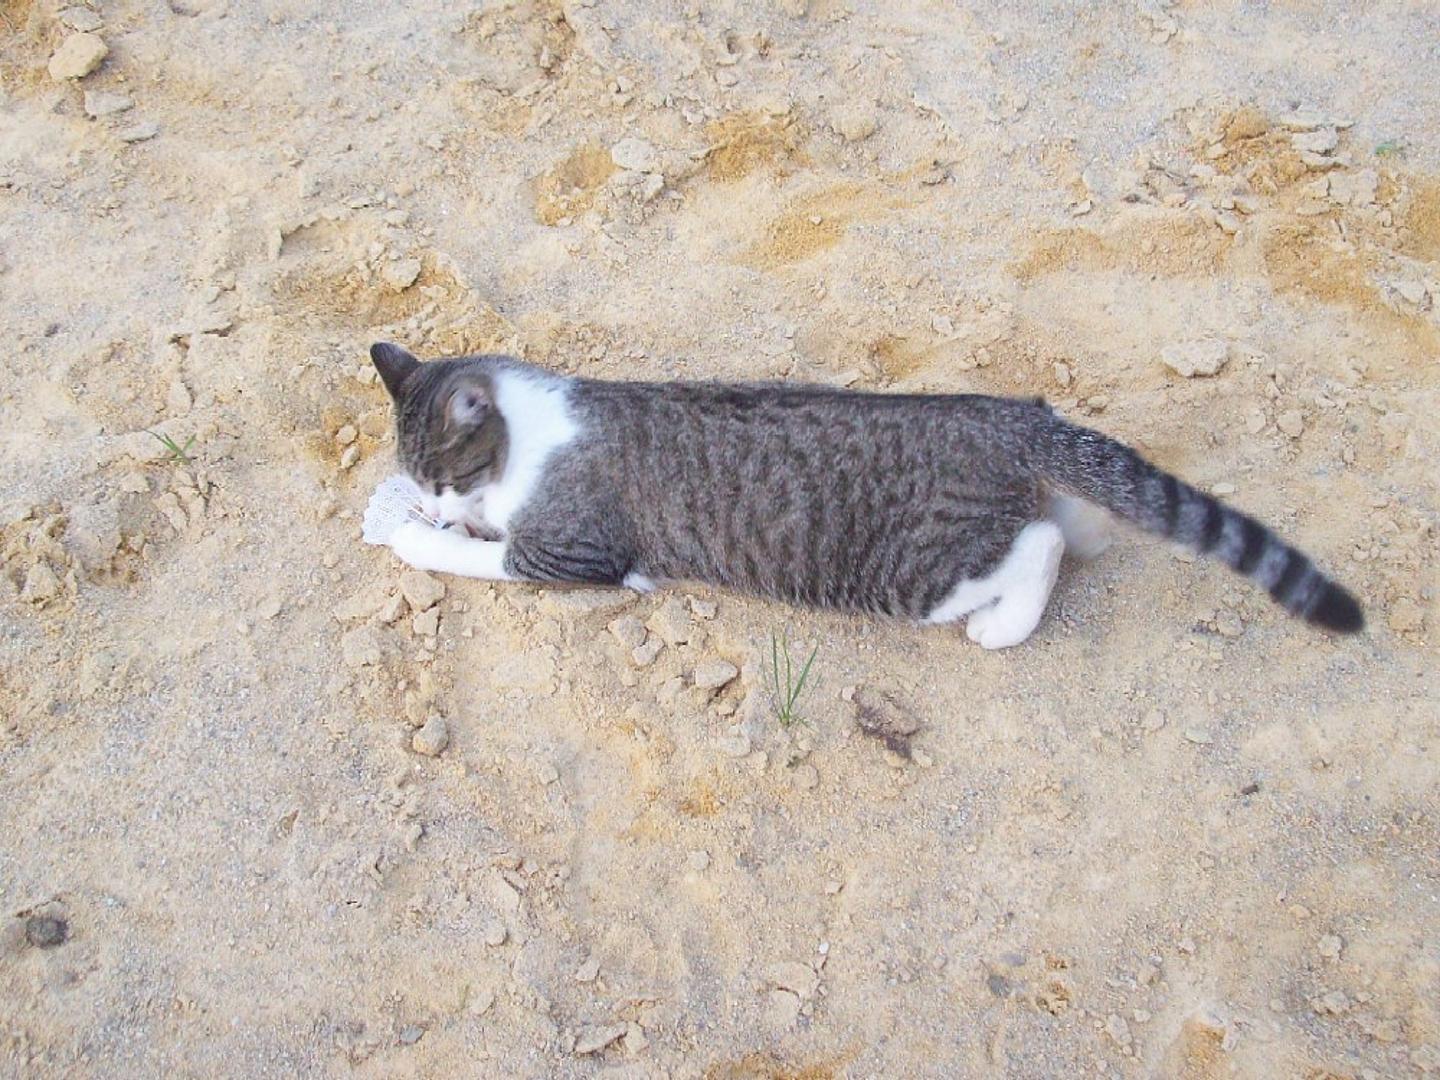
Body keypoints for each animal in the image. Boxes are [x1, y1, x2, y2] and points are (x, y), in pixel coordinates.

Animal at [368, 342, 1359, 648]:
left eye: (449, 473)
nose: (436, 498)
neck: (528, 435)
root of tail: (1005, 417)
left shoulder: (571, 550)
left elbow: (485, 554)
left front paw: (420, 533)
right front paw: (408, 513)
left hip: (912, 571)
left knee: (1035, 547)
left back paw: (1004, 624)